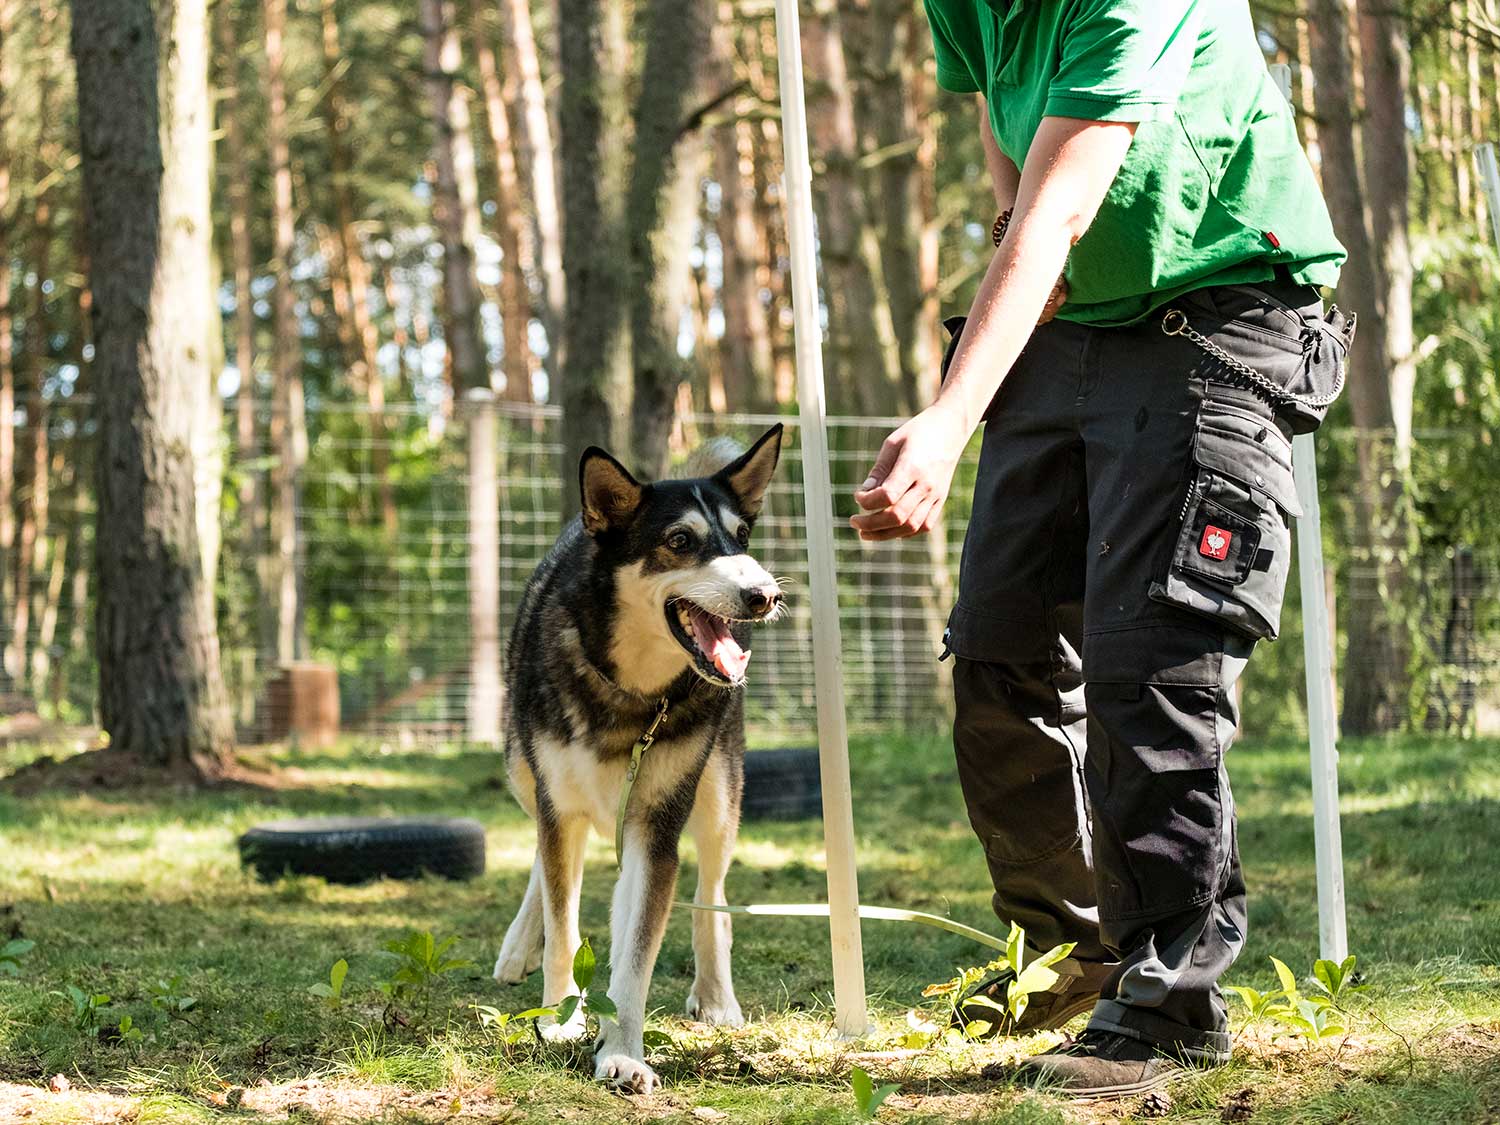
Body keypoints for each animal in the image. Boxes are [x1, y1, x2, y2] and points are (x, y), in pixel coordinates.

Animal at [498, 426, 792, 1098]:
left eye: (741, 536)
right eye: (680, 541)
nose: (764, 594)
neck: (632, 690)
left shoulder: (655, 830)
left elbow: (635, 958)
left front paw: (622, 1053)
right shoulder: (558, 805)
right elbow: (563, 925)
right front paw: (561, 1018)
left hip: (718, 796)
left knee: (712, 897)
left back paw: (716, 996)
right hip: (522, 772)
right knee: (545, 865)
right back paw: (519, 943)